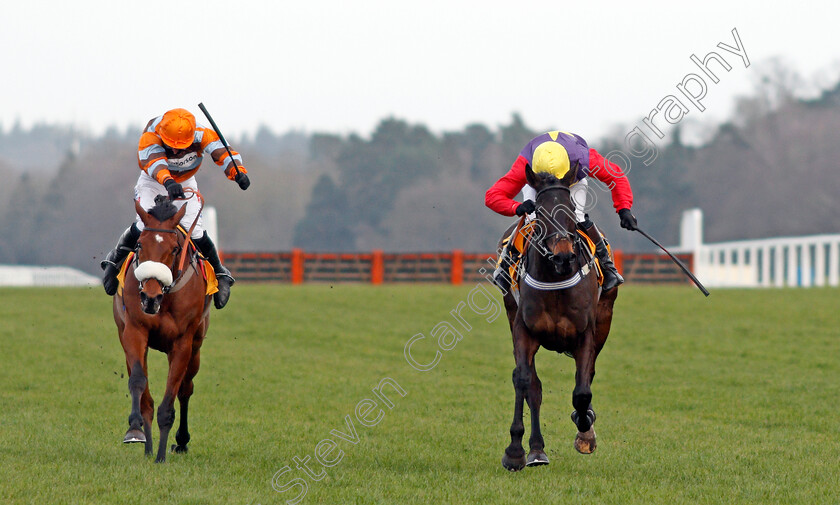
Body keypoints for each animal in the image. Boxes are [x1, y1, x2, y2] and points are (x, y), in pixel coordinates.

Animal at [113, 195, 212, 462]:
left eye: (175, 249)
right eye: (139, 246)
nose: (150, 297)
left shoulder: (182, 343)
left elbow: (170, 399)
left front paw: (161, 457)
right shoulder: (134, 332)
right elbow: (138, 382)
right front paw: (135, 431)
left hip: (196, 349)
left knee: (186, 389)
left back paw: (180, 441)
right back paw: (148, 447)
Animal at [498, 163, 616, 470]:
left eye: (571, 207)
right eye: (539, 211)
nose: (564, 256)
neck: (555, 277)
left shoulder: (585, 333)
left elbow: (582, 391)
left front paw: (585, 429)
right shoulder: (523, 329)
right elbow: (525, 381)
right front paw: (515, 451)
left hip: (604, 321)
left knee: (587, 376)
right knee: (533, 386)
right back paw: (537, 450)